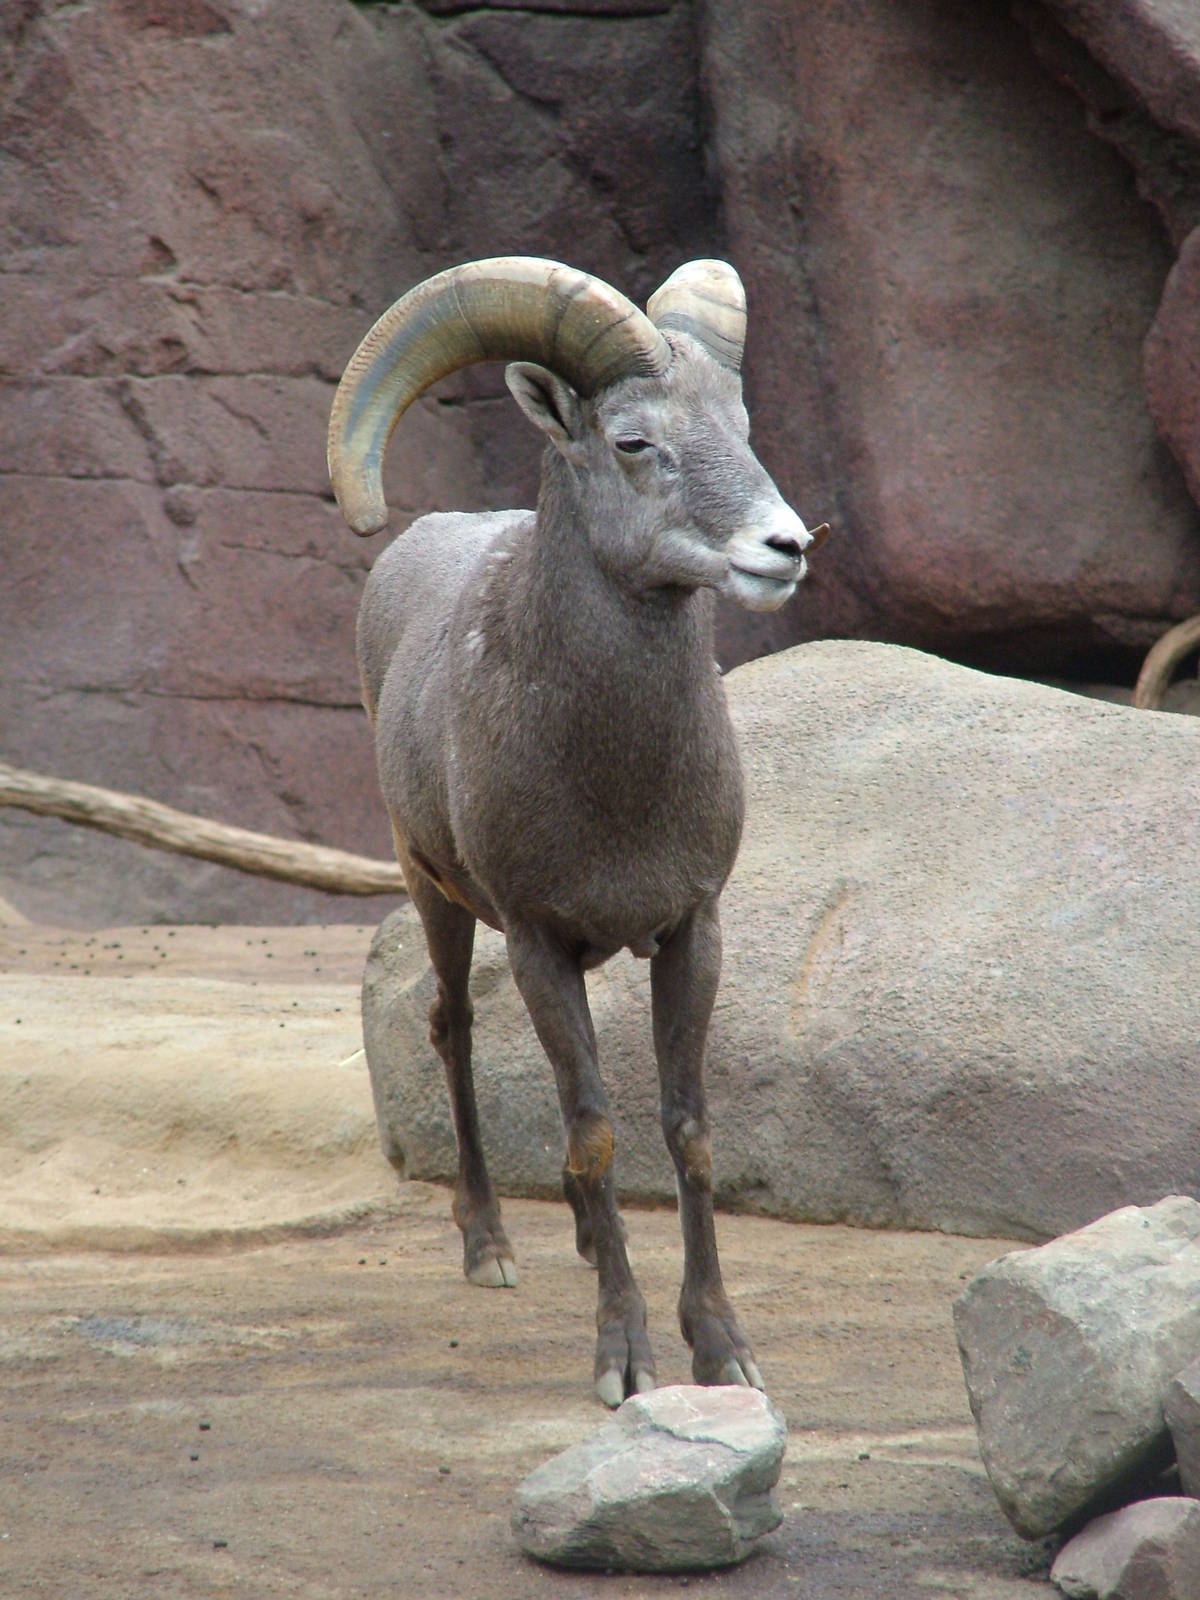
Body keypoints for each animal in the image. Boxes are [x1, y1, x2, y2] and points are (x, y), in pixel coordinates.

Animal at [327, 257, 827, 1407]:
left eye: (740, 424)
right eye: (635, 442)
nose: (786, 548)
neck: (617, 787)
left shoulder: (690, 932)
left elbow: (686, 1134)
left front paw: (723, 1352)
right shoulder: (541, 944)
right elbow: (594, 1132)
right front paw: (626, 1363)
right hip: (434, 896)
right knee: (452, 1027)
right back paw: (490, 1247)